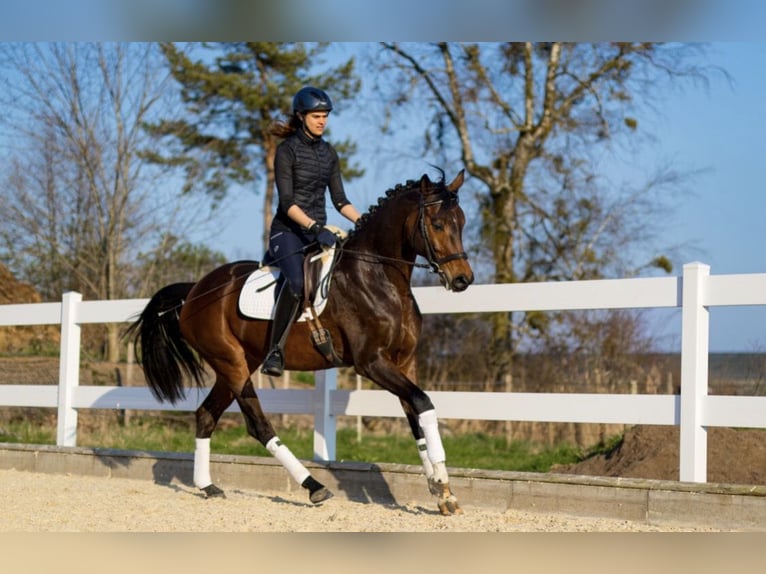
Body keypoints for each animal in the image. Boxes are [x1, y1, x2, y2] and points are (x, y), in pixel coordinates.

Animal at [126, 170, 474, 515]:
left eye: (461, 221)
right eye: (437, 224)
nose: (462, 279)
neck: (379, 279)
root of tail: (196, 290)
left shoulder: (404, 362)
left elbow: (416, 415)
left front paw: (442, 493)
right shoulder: (371, 363)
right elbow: (423, 403)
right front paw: (443, 485)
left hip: (236, 365)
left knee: (205, 415)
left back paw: (208, 486)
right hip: (232, 364)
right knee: (258, 425)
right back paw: (314, 487)